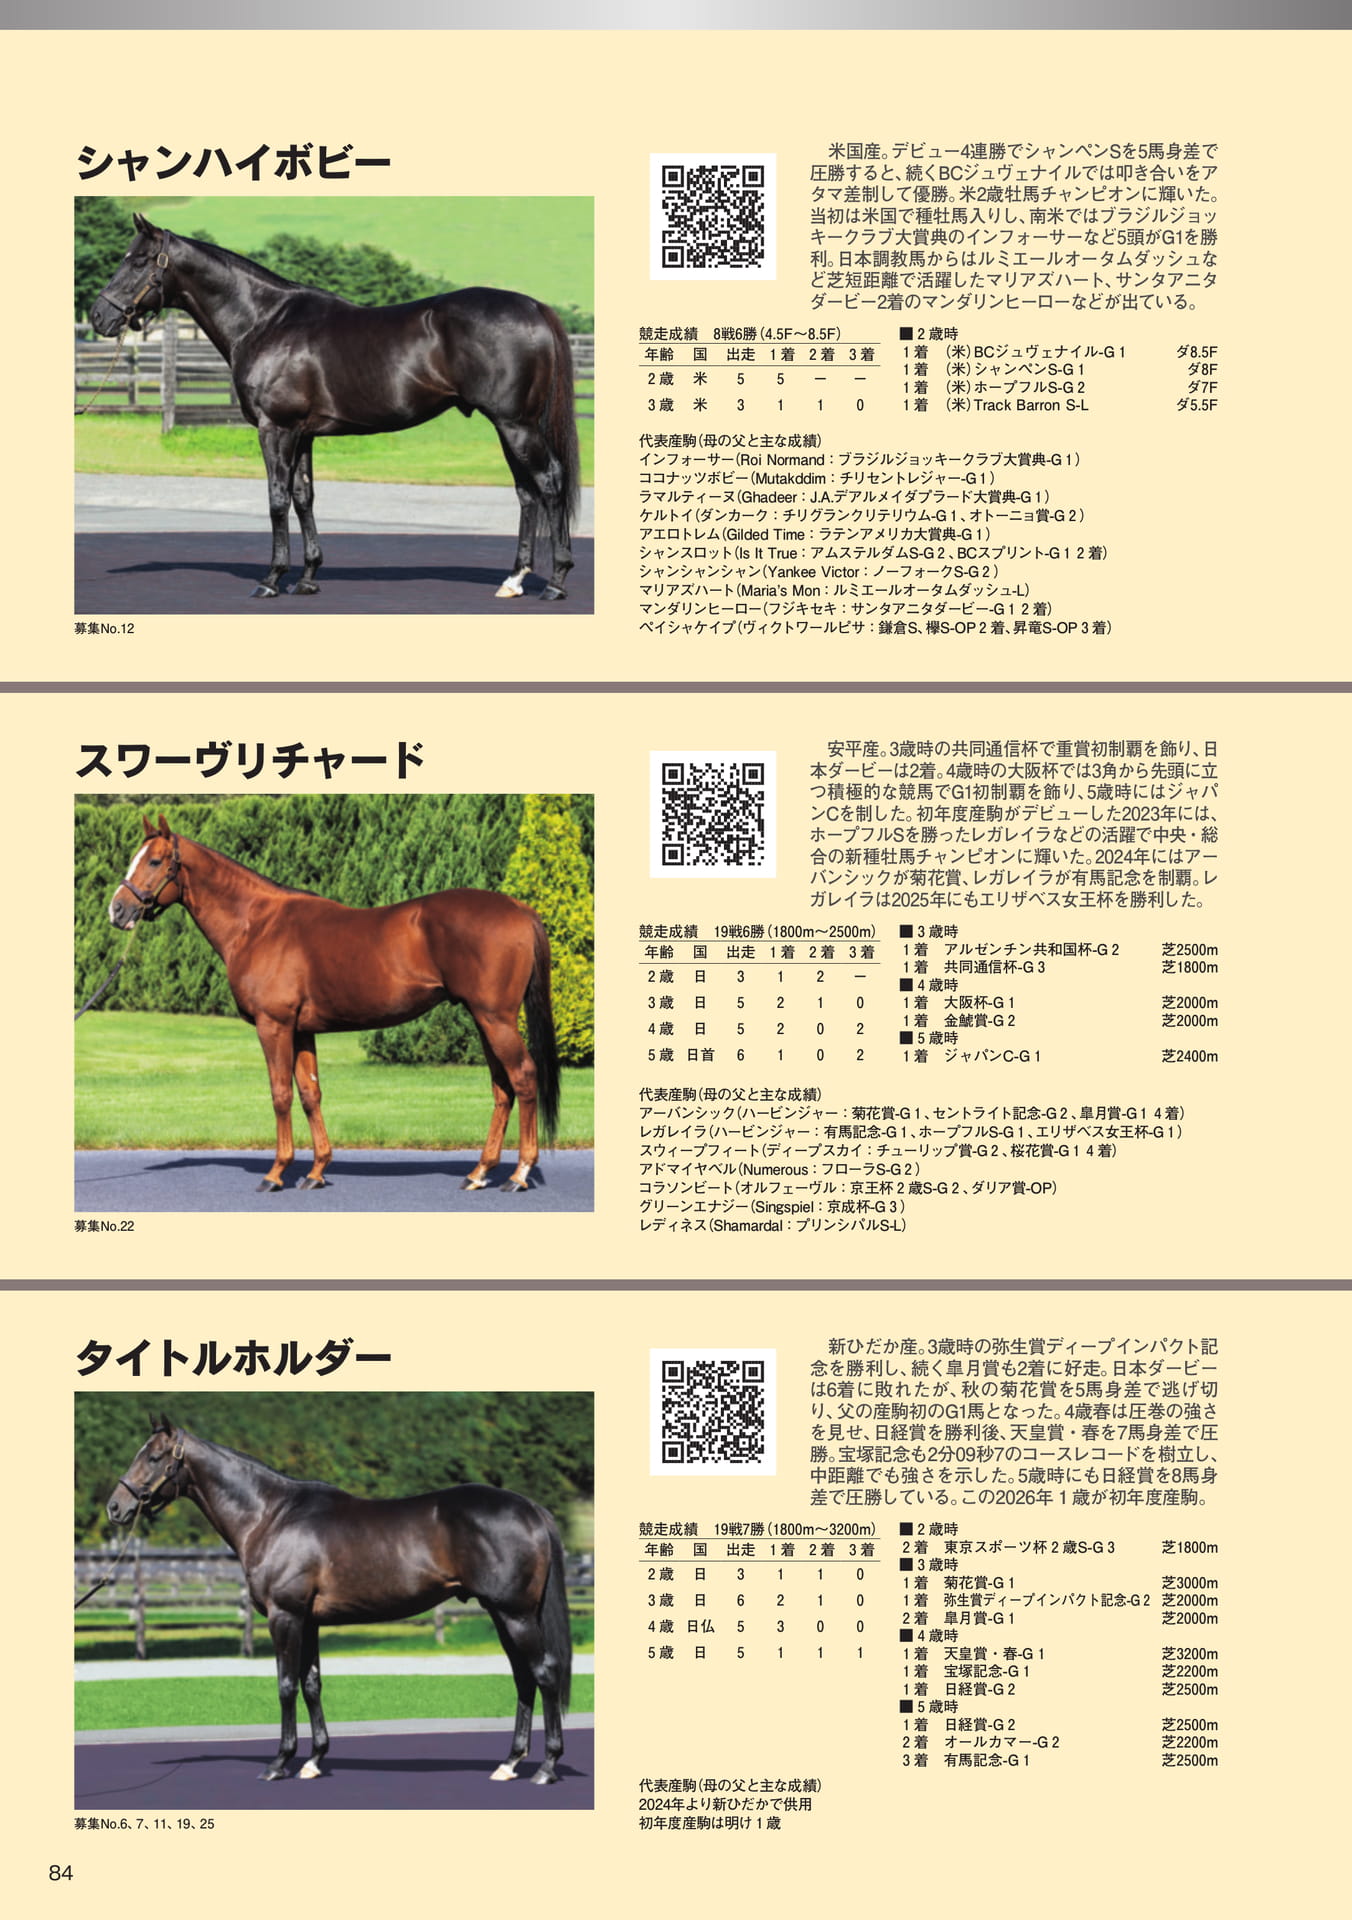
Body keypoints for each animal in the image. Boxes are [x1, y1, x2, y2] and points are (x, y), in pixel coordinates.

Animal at [87, 212, 579, 601]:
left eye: (137, 261)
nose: (98, 317)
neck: (264, 321)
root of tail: (534, 307)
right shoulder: (302, 433)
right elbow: (303, 496)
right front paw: (307, 577)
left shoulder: (276, 428)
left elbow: (276, 498)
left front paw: (271, 578)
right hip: (508, 426)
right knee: (526, 492)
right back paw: (513, 580)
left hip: (516, 424)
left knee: (549, 482)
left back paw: (556, 582)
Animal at [106, 814, 560, 1194]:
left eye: (155, 861)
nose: (117, 910)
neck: (258, 924)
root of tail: (520, 909)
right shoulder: (302, 1030)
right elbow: (311, 1094)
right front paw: (317, 1171)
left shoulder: (274, 1026)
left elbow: (280, 1094)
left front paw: (276, 1173)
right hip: (485, 1020)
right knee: (502, 1088)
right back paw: (479, 1172)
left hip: (495, 1019)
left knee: (522, 1077)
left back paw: (518, 1175)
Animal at [106, 1417, 573, 1785]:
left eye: (153, 1457)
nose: (115, 1507)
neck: (270, 1515)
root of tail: (531, 1509)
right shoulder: (308, 1620)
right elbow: (312, 1684)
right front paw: (313, 1760)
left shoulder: (285, 1617)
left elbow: (286, 1685)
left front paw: (279, 1762)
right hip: (501, 1614)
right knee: (524, 1679)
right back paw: (509, 1763)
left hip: (515, 1615)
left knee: (544, 1673)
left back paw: (546, 1767)